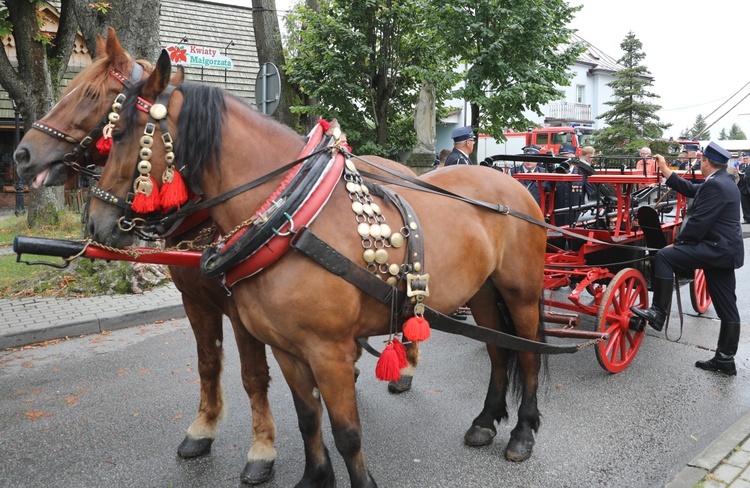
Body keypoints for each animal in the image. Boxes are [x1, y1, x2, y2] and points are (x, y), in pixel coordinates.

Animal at [14, 27, 424, 484]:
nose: (22, 155)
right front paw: (203, 428)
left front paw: (262, 449)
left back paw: (405, 369)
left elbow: (252, 375)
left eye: (90, 94)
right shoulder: (196, 301)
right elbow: (208, 363)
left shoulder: (240, 309)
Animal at [88, 50, 548, 488]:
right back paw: (485, 422)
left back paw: (523, 434)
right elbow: (308, 418)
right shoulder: (287, 349)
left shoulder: (330, 353)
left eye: (122, 134)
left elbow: (347, 433)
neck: (292, 219)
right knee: (498, 352)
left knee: (526, 355)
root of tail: (511, 184)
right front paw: (314, 477)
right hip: (483, 292)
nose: (95, 224)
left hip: (521, 294)